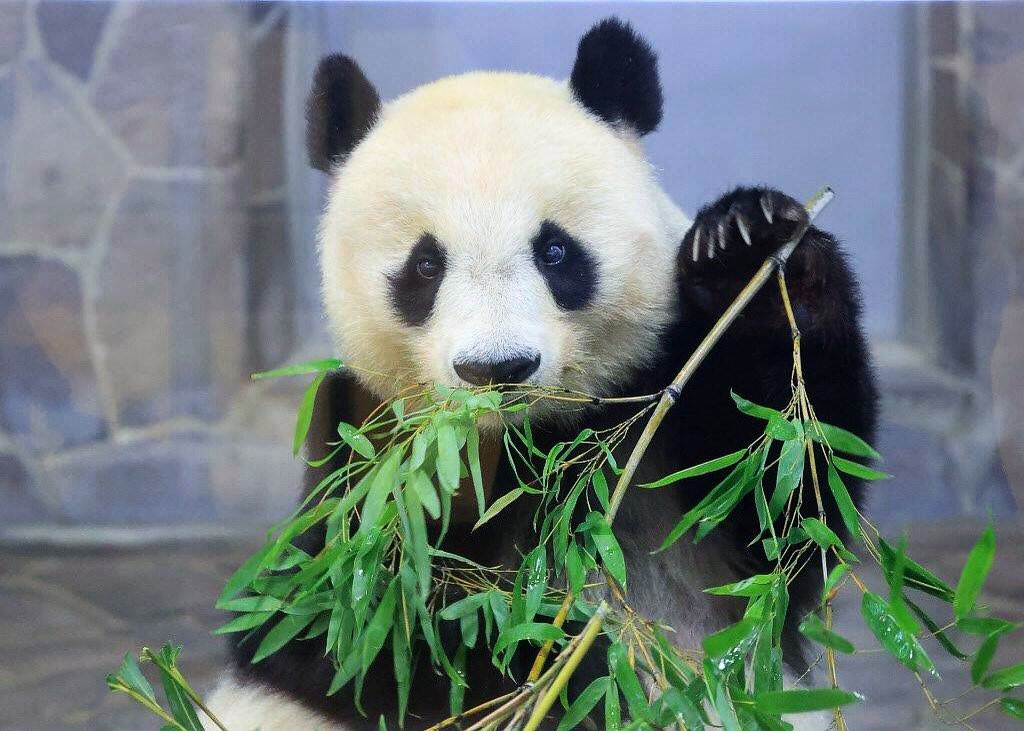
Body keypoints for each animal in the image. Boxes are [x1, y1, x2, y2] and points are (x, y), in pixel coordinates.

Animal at [209, 17, 880, 728]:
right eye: (425, 265)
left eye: (555, 250)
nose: (497, 366)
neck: (534, 444)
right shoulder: (360, 455)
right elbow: (357, 640)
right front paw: (561, 656)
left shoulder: (669, 417)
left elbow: (788, 506)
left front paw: (744, 242)